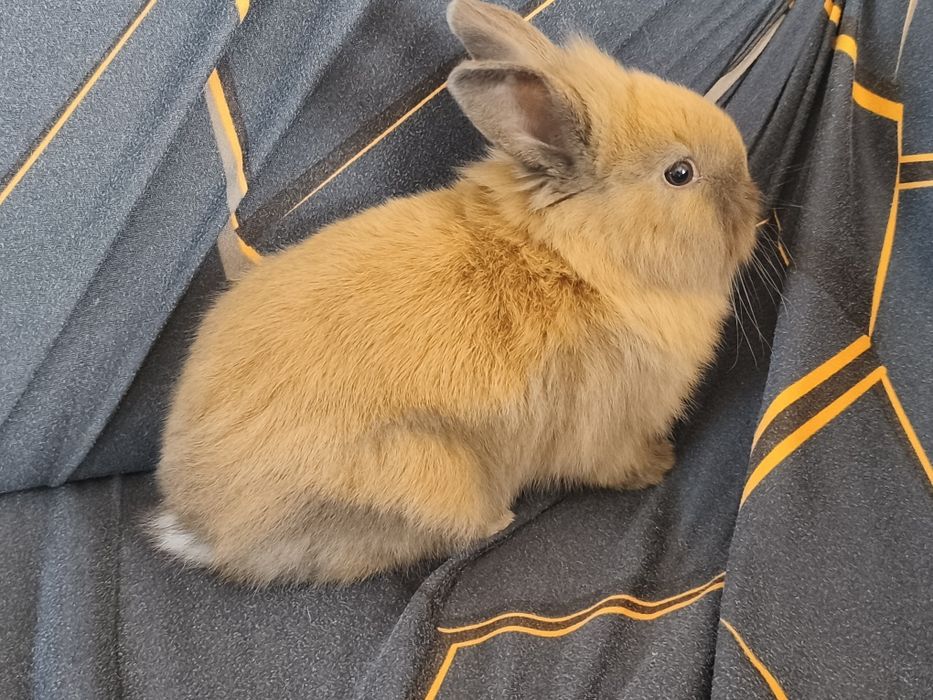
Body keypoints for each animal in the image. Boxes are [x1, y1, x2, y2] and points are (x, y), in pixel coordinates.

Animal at [151, 0, 760, 585]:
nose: (754, 203)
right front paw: (660, 464)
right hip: (426, 480)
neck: (582, 262)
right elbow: (617, 462)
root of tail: (200, 525)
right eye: (680, 173)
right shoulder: (610, 424)